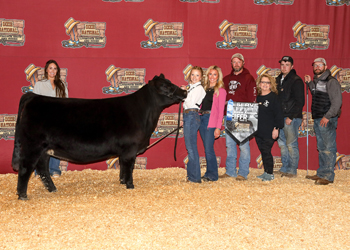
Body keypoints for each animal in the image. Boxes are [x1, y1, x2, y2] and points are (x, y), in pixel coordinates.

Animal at [11, 73, 186, 199]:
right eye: (165, 86)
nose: (184, 91)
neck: (145, 115)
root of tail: (34, 96)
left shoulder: (124, 152)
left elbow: (123, 168)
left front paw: (122, 183)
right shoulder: (130, 150)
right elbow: (129, 168)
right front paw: (130, 186)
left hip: (45, 149)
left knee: (42, 168)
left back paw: (52, 189)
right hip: (32, 146)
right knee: (26, 168)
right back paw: (23, 195)